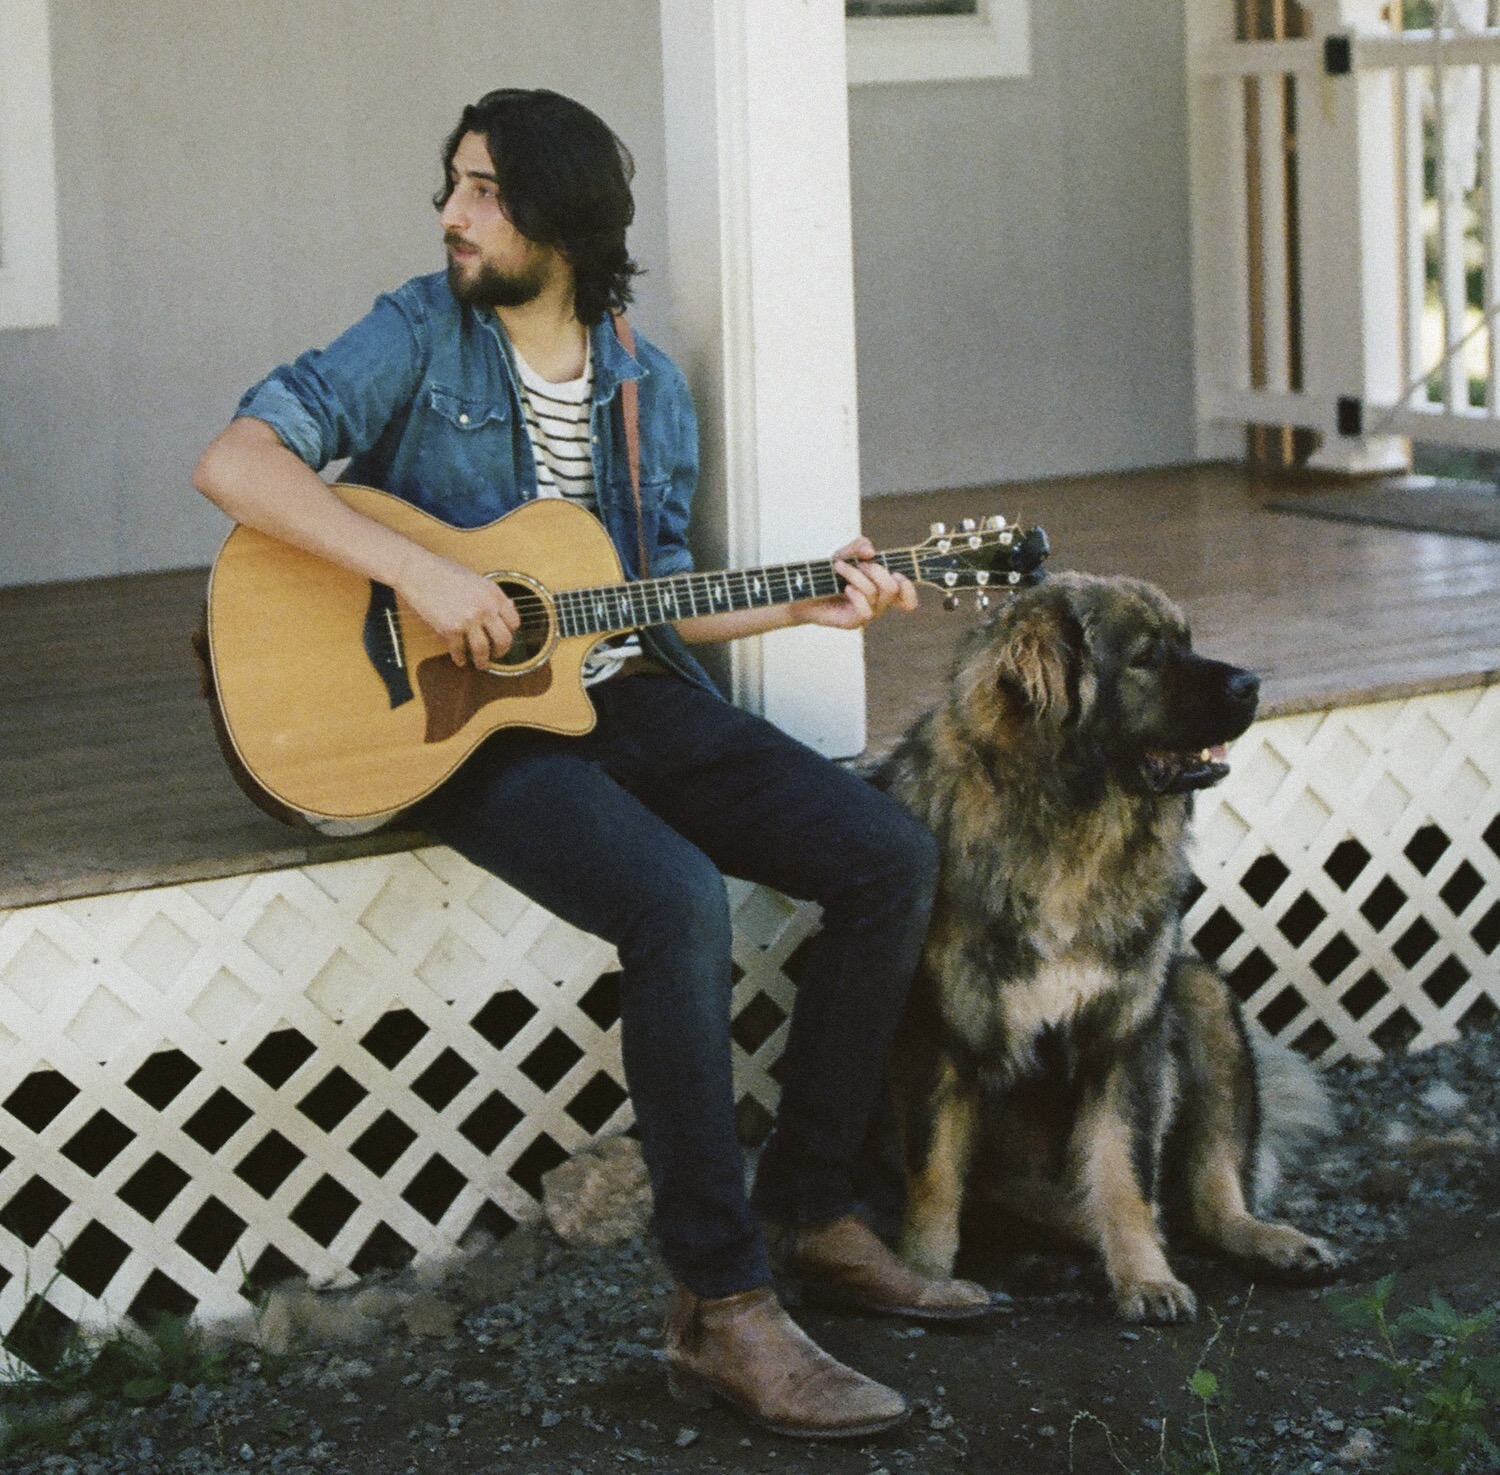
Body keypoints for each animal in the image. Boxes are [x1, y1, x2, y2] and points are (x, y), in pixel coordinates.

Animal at [876, 570, 1338, 1320]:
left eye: (1187, 640)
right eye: (1146, 657)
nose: (1251, 683)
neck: (1074, 827)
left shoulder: (1126, 1034)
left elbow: (1124, 1169)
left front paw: (1146, 1277)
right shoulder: (938, 1034)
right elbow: (935, 1173)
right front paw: (923, 1276)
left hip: (1200, 995)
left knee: (1208, 1195)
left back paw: (1271, 1241)